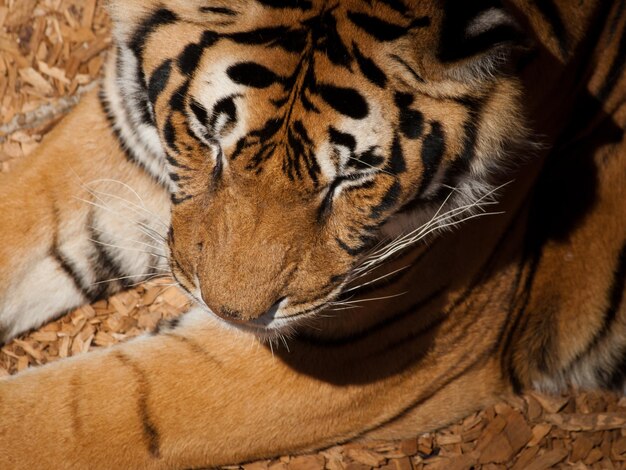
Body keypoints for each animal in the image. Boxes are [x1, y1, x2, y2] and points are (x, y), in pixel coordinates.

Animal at [0, 0, 620, 468]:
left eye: (350, 179)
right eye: (210, 139)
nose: (232, 314)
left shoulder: (355, 346)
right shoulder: (123, 141)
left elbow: (78, 414)